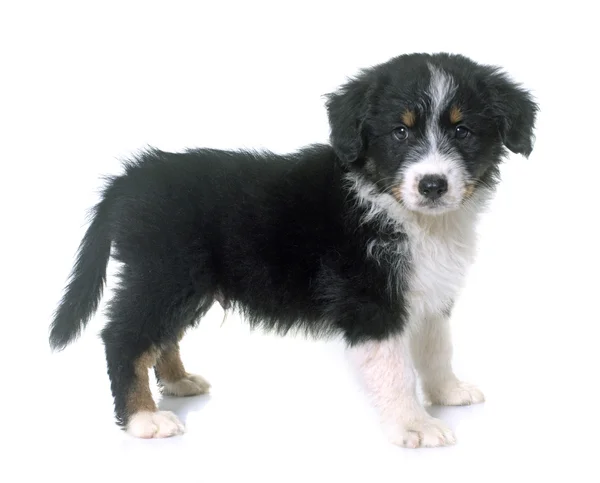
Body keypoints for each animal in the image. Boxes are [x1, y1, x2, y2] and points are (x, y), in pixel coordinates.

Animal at [50, 51, 540, 448]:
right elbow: (395, 367)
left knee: (161, 335)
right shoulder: (370, 298)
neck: (406, 212)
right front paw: (414, 426)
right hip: (165, 273)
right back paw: (144, 419)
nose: (432, 185)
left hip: (182, 283)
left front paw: (448, 393)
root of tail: (131, 178)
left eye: (463, 131)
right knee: (125, 336)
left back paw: (178, 381)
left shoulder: (429, 292)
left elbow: (437, 348)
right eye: (400, 132)